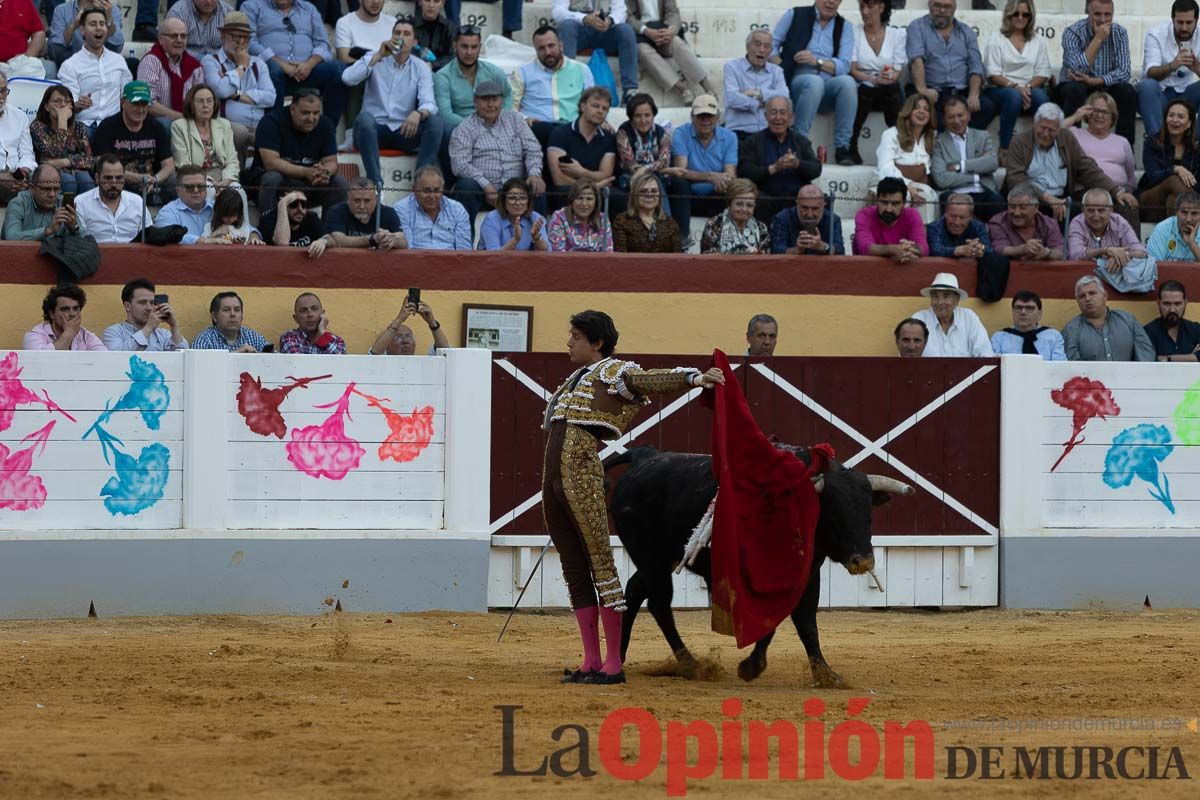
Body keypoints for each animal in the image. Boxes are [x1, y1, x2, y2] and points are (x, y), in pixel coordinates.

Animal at [604, 443, 912, 690]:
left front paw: (826, 674)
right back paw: (691, 664)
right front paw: (751, 667)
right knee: (659, 604)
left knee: (634, 590)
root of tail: (647, 456)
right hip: (651, 557)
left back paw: (620, 655)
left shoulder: (808, 576)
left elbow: (806, 623)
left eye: (868, 514)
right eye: (834, 514)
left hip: (659, 559)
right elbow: (773, 620)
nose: (864, 561)